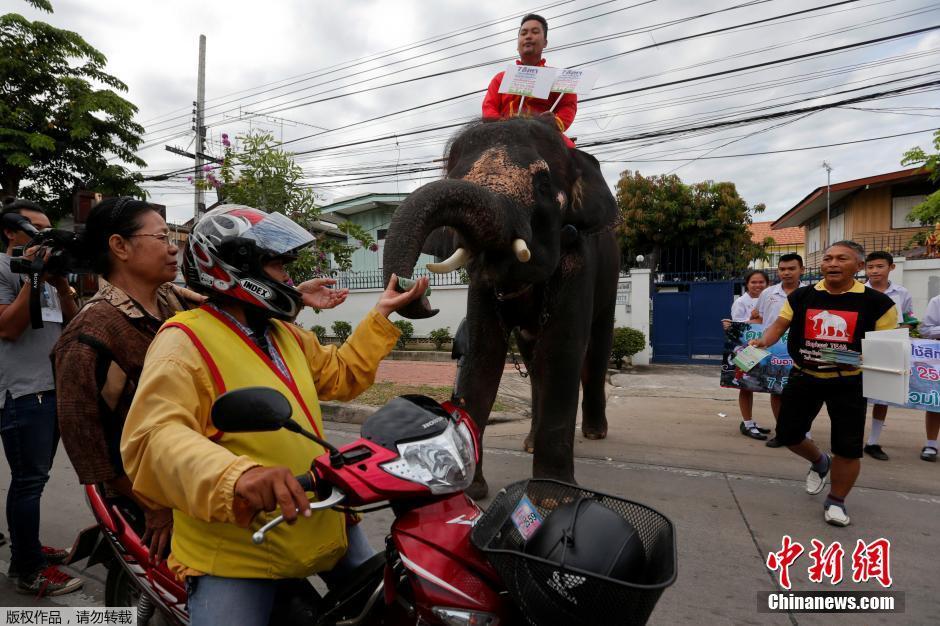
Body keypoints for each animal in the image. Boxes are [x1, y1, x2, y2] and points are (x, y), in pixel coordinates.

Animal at [378, 116, 620, 498]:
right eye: (454, 177)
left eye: (543, 182)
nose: (423, 300)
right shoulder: (481, 286)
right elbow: (482, 354)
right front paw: (469, 490)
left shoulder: (579, 260)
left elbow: (563, 351)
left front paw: (553, 496)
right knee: (534, 363)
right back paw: (530, 442)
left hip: (611, 276)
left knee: (595, 349)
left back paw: (595, 433)